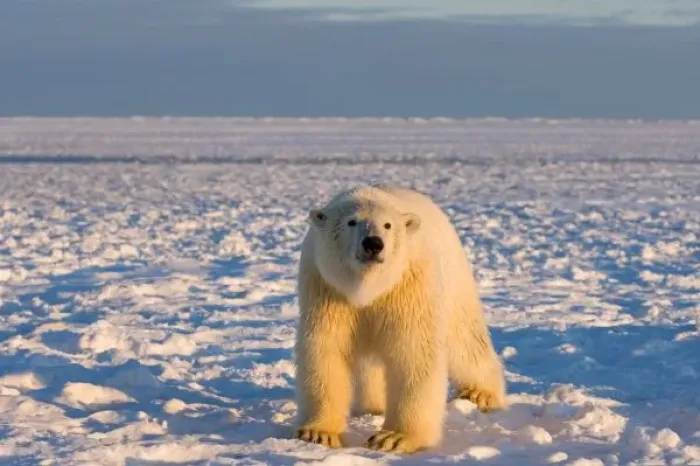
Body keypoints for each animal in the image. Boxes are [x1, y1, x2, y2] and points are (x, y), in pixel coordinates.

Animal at [293, 184, 506, 454]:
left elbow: (412, 351)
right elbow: (326, 348)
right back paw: (374, 404)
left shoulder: (408, 285)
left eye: (387, 225)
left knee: (465, 337)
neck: (368, 288)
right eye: (352, 221)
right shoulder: (326, 289)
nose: (373, 244)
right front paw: (318, 433)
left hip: (453, 276)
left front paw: (393, 437)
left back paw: (481, 394)